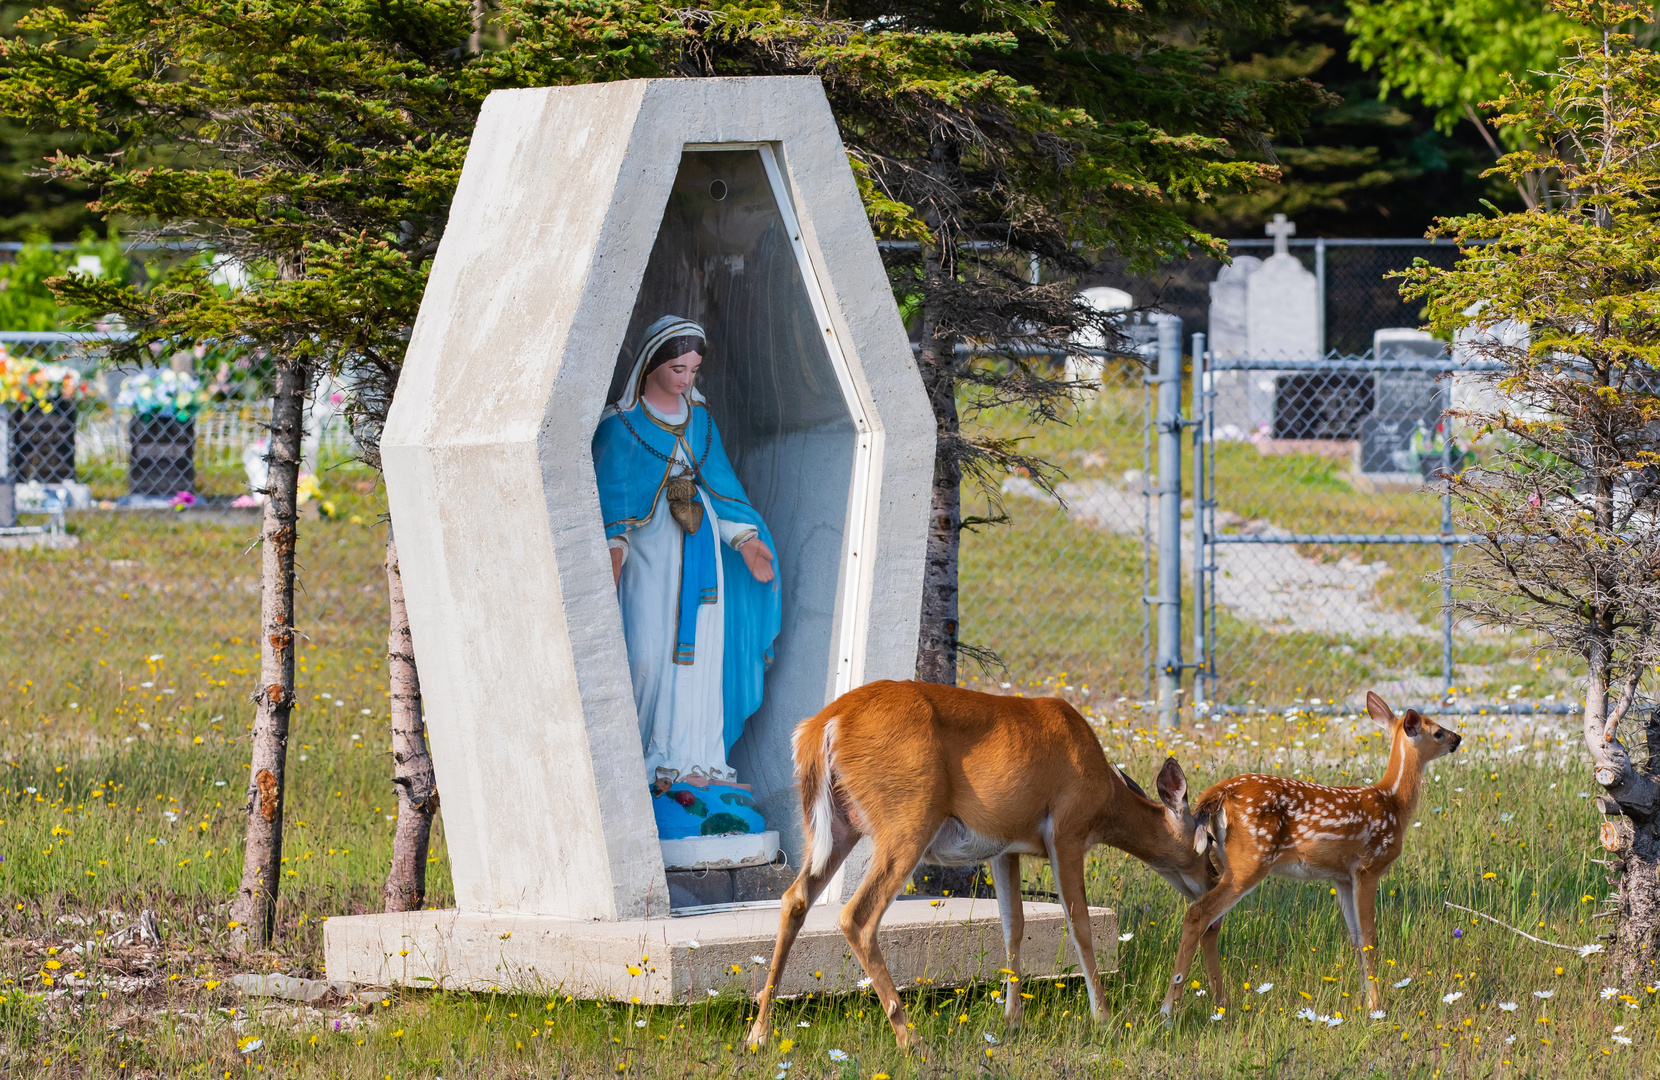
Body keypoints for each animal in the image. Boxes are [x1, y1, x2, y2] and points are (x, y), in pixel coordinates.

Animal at [747, 680, 1215, 1055]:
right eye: (1208, 842)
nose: (1212, 883)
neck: (1104, 799)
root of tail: (824, 724)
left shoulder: (1004, 848)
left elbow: (1014, 927)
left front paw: (1012, 1021)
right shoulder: (1067, 831)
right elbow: (1080, 926)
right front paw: (1105, 1020)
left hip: (838, 827)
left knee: (794, 899)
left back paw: (760, 1034)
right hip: (908, 818)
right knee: (857, 916)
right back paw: (910, 1038)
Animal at [1162, 693, 1460, 1021]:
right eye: (1438, 732)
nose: (1458, 738)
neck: (1392, 802)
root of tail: (1219, 792)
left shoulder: (1342, 877)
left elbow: (1355, 938)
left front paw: (1362, 1001)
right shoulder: (1368, 866)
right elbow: (1369, 937)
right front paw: (1375, 1006)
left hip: (1222, 862)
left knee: (1210, 924)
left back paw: (1221, 1005)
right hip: (1250, 862)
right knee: (1197, 913)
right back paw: (1168, 1010)